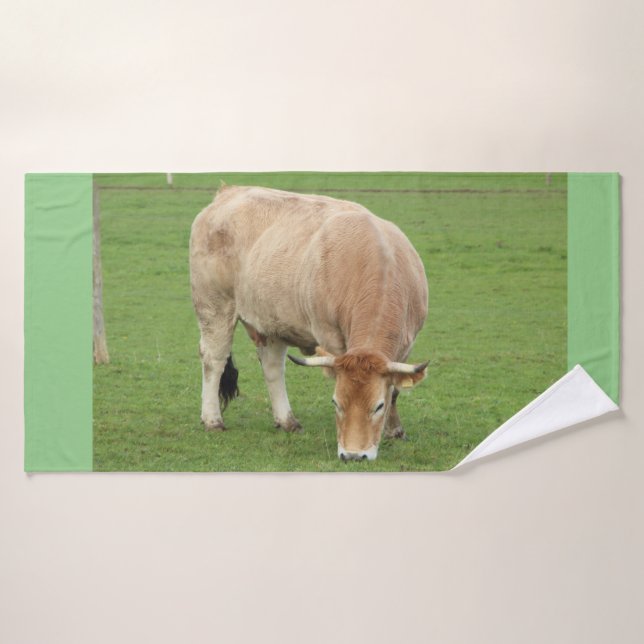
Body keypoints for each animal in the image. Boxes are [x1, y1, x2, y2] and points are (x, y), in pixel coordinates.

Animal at [189, 185, 428, 461]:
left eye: (378, 406)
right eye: (336, 403)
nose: (353, 455)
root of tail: (228, 192)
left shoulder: (407, 345)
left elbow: (396, 390)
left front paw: (395, 430)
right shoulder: (332, 340)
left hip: (271, 321)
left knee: (272, 367)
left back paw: (287, 420)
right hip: (215, 308)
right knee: (214, 361)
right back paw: (212, 419)